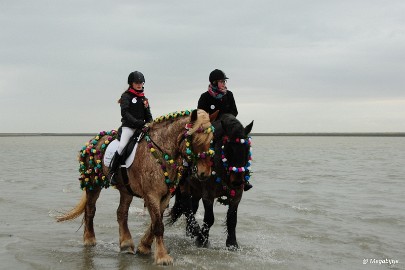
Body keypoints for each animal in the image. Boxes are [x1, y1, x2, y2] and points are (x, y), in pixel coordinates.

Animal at [57, 108, 215, 264]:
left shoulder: (165, 196)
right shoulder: (151, 194)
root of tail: (92, 142)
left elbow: (155, 223)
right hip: (93, 184)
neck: (161, 151)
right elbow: (158, 225)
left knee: (121, 213)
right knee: (90, 209)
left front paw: (144, 247)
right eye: (195, 139)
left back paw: (126, 244)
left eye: (211, 139)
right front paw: (162, 257)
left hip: (126, 190)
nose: (204, 173)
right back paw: (90, 240)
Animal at [167, 113, 252, 249]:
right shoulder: (208, 195)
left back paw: (190, 231)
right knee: (186, 205)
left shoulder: (237, 195)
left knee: (193, 206)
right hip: (185, 185)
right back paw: (194, 230)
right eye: (228, 149)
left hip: (196, 190)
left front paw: (232, 244)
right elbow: (209, 218)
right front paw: (202, 240)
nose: (237, 182)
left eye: (247, 148)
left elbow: (232, 219)